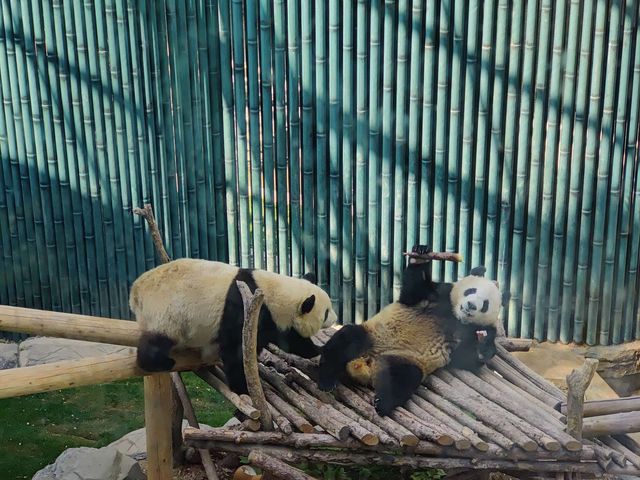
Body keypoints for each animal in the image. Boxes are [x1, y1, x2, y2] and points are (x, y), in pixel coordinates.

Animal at [320, 244, 500, 416]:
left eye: (485, 304)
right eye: (471, 290)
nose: (470, 305)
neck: (454, 314)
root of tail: (367, 360)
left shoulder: (473, 328)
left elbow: (464, 358)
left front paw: (482, 345)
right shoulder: (440, 293)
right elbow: (413, 293)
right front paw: (421, 254)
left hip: (405, 359)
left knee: (403, 377)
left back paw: (383, 403)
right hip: (372, 335)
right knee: (347, 340)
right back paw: (326, 379)